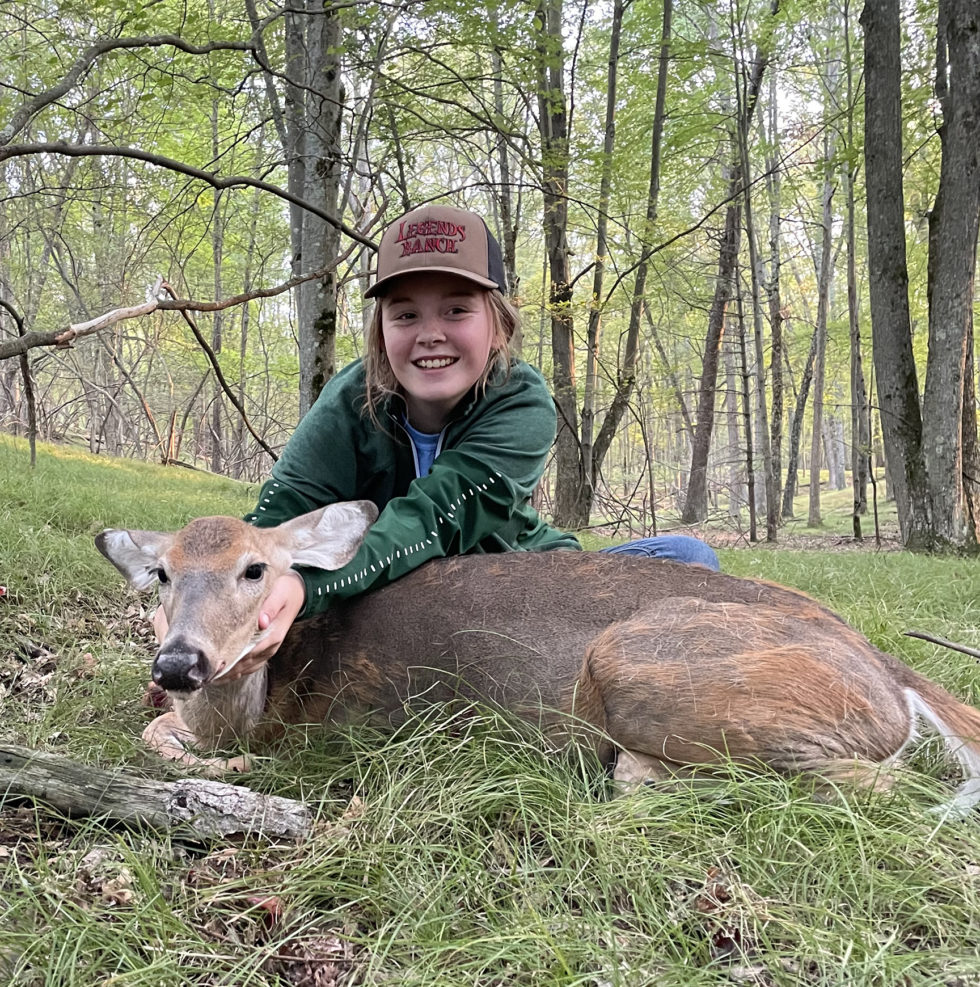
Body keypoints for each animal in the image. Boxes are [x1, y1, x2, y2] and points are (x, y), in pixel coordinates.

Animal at [95, 506, 980, 816]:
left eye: (256, 568)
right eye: (162, 572)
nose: (178, 663)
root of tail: (892, 673)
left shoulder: (338, 730)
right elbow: (152, 732)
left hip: (645, 663)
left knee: (888, 783)